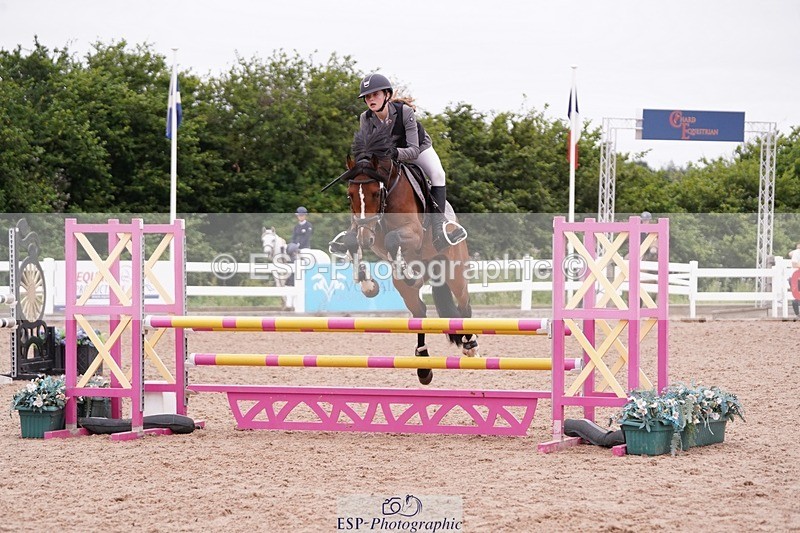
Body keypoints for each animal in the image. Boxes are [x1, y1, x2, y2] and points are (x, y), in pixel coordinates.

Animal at [334, 125, 476, 385]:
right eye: (350, 194)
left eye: (374, 193)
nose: (365, 238)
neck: (389, 191)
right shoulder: (367, 231)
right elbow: (354, 241)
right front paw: (369, 285)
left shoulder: (413, 233)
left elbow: (393, 240)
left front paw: (404, 270)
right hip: (408, 292)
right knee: (420, 312)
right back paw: (423, 366)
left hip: (455, 272)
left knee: (464, 305)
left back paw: (470, 345)